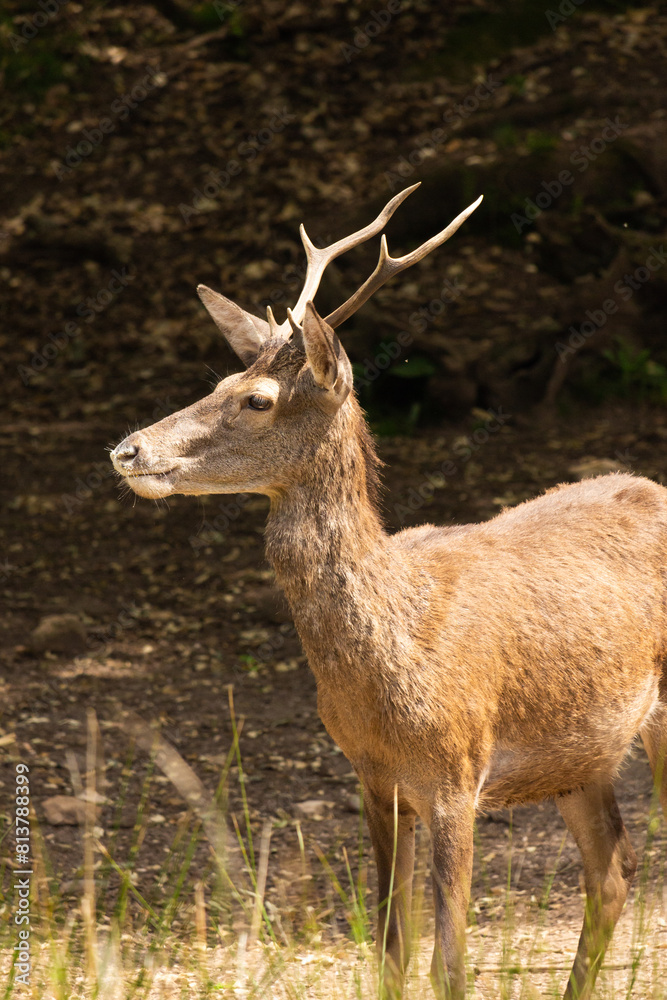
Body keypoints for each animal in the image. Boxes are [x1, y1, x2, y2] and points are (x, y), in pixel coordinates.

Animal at [111, 183, 667, 999]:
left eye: (257, 399)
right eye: (216, 383)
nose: (127, 449)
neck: (392, 651)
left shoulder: (457, 770)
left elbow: (448, 961)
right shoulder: (371, 775)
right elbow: (388, 950)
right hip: (580, 756)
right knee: (612, 870)